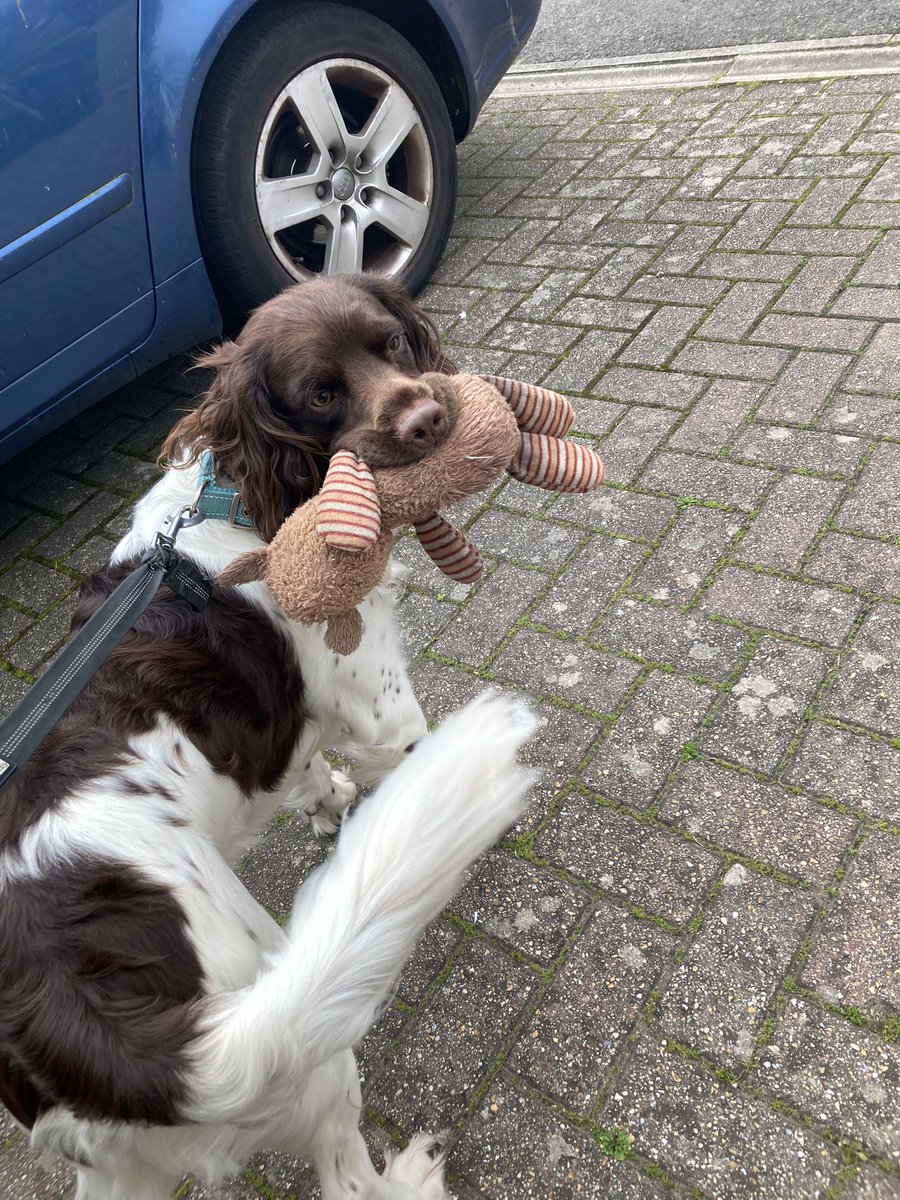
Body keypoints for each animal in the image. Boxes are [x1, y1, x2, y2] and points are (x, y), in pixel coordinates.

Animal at [0, 276, 535, 1200]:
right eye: (319, 394)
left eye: (394, 342)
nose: (429, 419)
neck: (247, 499)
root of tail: (74, 1026)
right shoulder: (384, 711)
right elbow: (411, 755)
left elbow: (310, 770)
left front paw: (332, 810)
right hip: (295, 1034)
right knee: (347, 1176)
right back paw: (410, 1176)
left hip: (123, 1161)